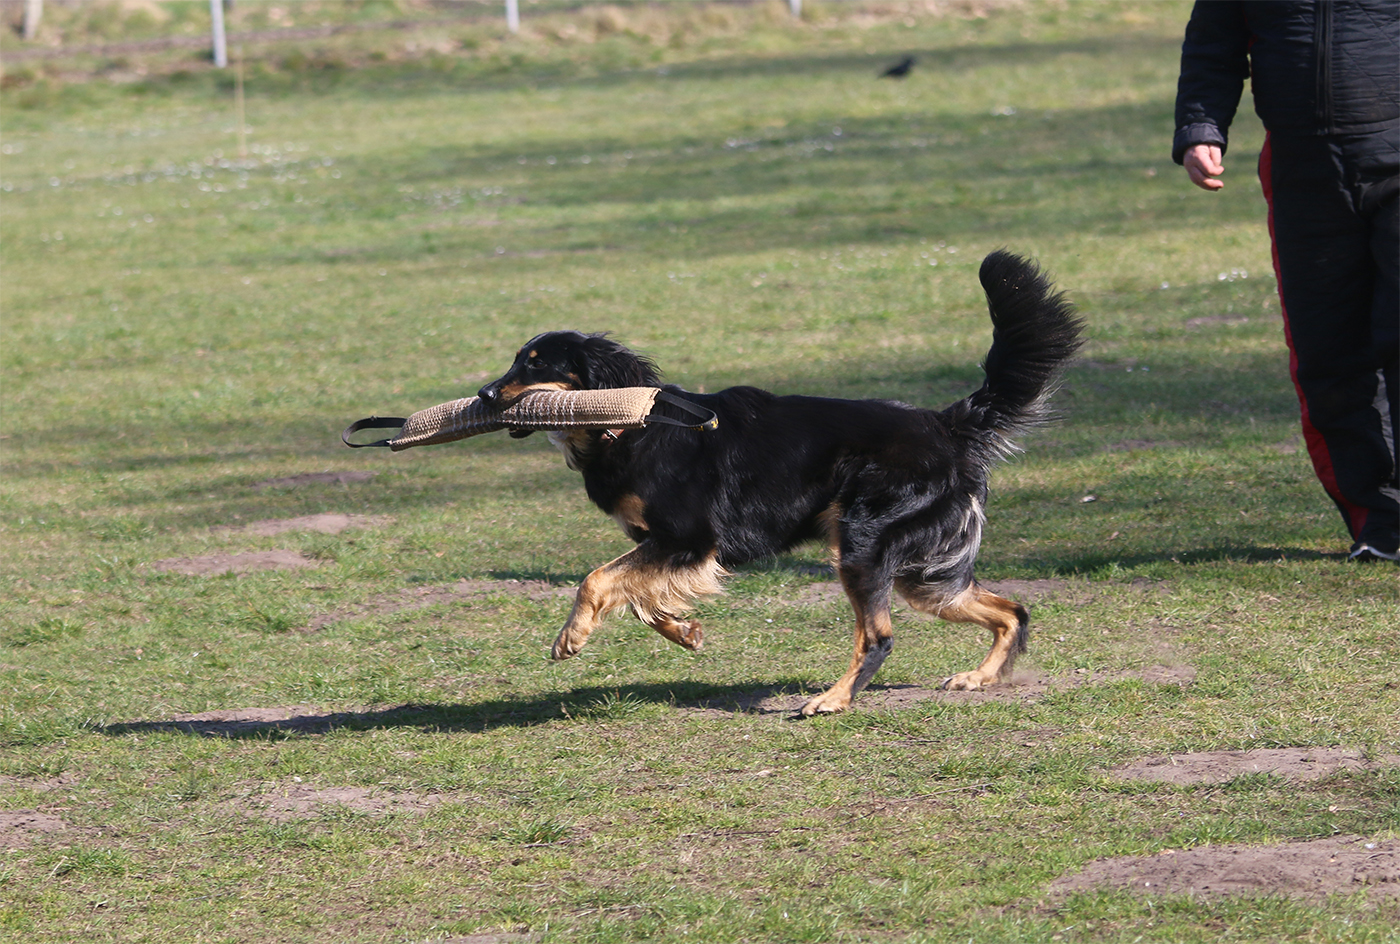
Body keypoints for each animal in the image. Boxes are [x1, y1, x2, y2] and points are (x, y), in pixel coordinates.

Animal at [478, 250, 1082, 715]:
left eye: (535, 364)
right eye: (516, 360)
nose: (483, 394)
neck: (631, 423)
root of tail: (945, 423)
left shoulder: (688, 538)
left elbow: (597, 579)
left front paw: (572, 635)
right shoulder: (667, 547)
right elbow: (640, 596)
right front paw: (683, 630)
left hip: (863, 546)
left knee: (879, 636)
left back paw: (834, 699)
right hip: (923, 572)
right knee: (1012, 611)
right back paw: (979, 677)